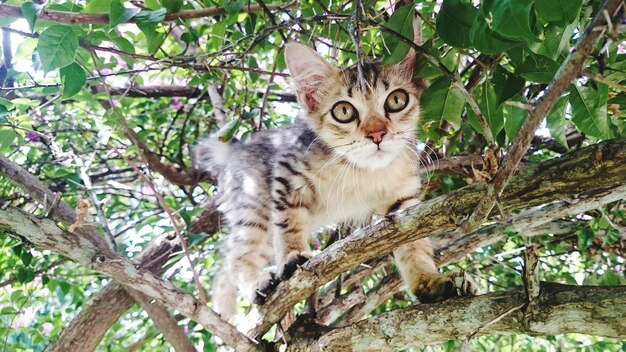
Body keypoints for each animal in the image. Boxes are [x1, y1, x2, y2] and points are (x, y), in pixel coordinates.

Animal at [193, 39, 476, 320]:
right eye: (344, 111)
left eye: (397, 100)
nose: (377, 134)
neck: (363, 171)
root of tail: (237, 148)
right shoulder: (289, 171)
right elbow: (289, 223)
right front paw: (292, 255)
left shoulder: (403, 203)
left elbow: (414, 246)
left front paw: (429, 282)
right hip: (255, 208)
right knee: (237, 256)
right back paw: (253, 284)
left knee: (223, 268)